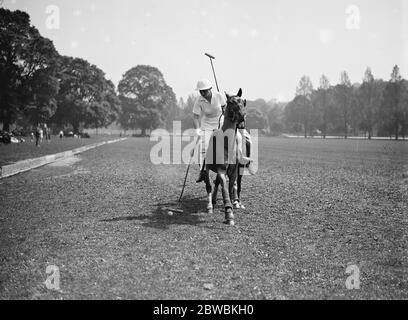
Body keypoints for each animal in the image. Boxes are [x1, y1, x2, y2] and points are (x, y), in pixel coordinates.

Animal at [203, 89, 250, 226]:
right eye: (230, 102)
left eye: (243, 101)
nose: (242, 117)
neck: (227, 143)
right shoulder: (221, 170)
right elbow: (223, 188)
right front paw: (229, 213)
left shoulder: (233, 170)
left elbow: (230, 187)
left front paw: (234, 204)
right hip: (207, 168)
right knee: (209, 185)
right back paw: (209, 206)